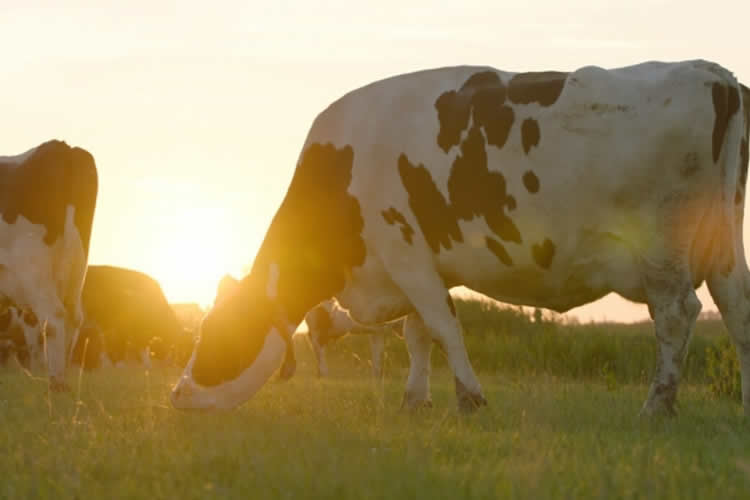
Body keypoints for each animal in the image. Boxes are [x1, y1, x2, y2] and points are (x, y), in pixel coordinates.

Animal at [0, 141, 97, 390]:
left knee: (53, 317)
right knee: (73, 318)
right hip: (76, 269)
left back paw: (55, 383)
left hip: (32, 268)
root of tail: (64, 148)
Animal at [173, 59, 748, 418]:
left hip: (662, 251)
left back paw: (657, 406)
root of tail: (712, 73)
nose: (176, 393)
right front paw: (415, 400)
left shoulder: (404, 251)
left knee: (676, 314)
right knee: (737, 310)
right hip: (725, 244)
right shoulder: (416, 265)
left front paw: (470, 398)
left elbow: (444, 327)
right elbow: (418, 334)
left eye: (216, 333)